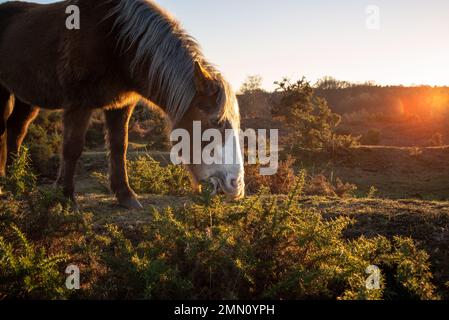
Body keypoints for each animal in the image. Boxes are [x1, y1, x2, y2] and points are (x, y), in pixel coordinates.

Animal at [0, 0, 245, 209]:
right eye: (217, 122)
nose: (237, 185)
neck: (117, 40)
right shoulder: (78, 103)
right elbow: (72, 147)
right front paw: (66, 197)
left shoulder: (120, 106)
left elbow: (119, 147)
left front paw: (125, 196)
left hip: (26, 99)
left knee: (16, 131)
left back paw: (16, 182)